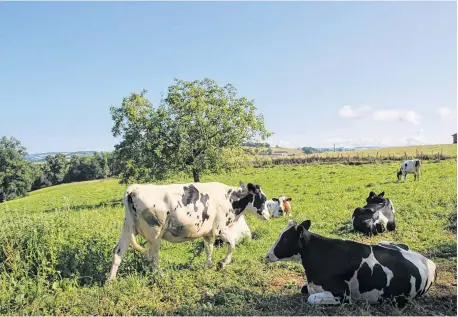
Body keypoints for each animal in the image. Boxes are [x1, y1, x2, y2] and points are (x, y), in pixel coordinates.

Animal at [108, 180, 270, 278]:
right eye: (262, 198)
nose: (268, 216)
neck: (230, 199)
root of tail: (135, 187)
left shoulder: (208, 232)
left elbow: (209, 249)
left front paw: (209, 265)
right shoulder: (220, 228)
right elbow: (232, 244)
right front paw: (223, 263)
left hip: (128, 228)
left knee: (118, 252)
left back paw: (111, 281)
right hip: (155, 234)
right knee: (152, 256)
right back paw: (160, 275)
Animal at [264, 218, 436, 304]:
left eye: (285, 238)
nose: (267, 255)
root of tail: (429, 261)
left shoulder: (342, 294)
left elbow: (311, 298)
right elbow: (304, 289)